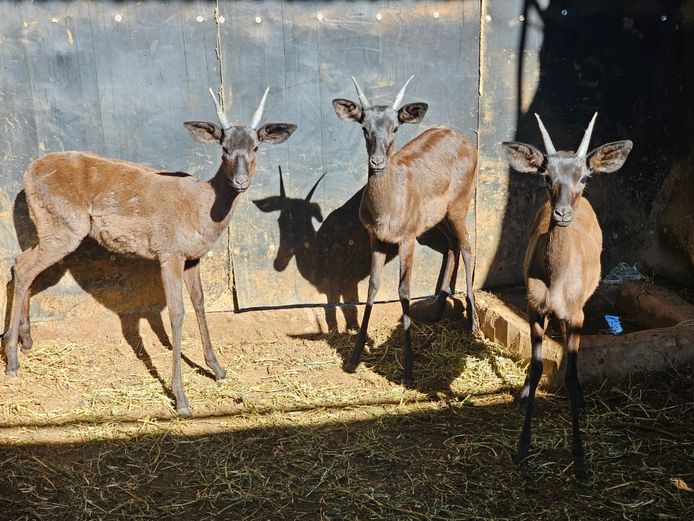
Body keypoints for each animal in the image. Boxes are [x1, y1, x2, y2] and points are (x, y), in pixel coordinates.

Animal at [3, 87, 296, 417]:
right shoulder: (169, 252)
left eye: (256, 147)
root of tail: (27, 173)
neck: (203, 209)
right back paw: (12, 361)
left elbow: (200, 302)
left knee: (19, 264)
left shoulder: (193, 257)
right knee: (23, 268)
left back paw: (26, 341)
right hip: (62, 228)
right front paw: (181, 399)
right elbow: (177, 313)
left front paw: (218, 369)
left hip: (49, 228)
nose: (241, 181)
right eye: (224, 148)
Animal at [332, 76, 478, 385]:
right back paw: (437, 307)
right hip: (439, 219)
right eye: (364, 127)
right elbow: (373, 287)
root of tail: (467, 140)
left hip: (458, 207)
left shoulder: (407, 238)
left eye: (395, 127)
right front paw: (354, 357)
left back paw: (473, 322)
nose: (376, 161)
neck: (386, 210)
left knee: (467, 245)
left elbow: (404, 291)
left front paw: (409, 368)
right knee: (451, 246)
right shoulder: (375, 239)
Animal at [502, 113, 632, 479]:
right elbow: (536, 367)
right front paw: (521, 449)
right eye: (546, 176)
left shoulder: (578, 315)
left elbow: (573, 375)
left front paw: (581, 461)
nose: (561, 214)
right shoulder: (534, 310)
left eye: (584, 176)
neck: (557, 281)